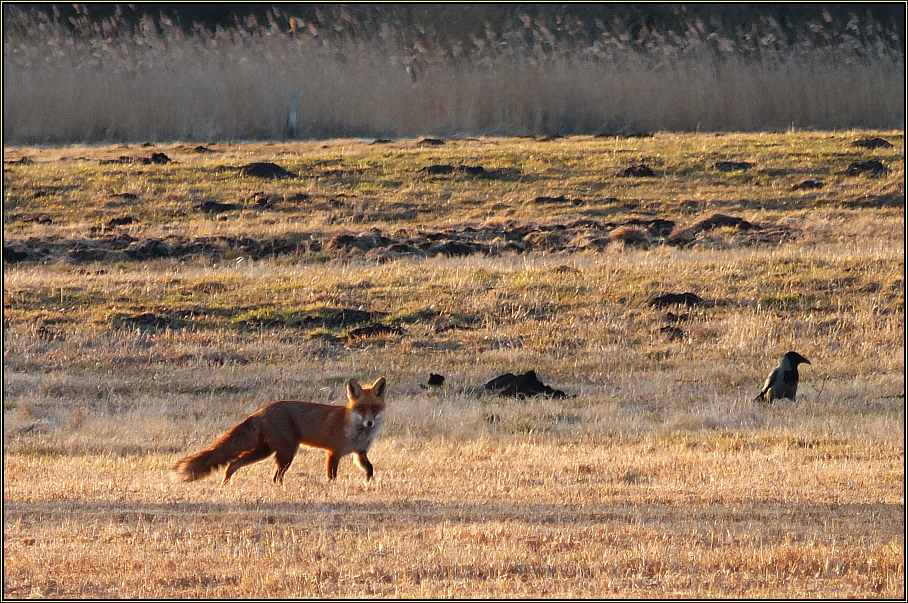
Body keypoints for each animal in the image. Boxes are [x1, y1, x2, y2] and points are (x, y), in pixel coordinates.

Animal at [172, 378, 384, 486]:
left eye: (375, 408)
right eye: (361, 409)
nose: (369, 423)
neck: (358, 432)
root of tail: (261, 409)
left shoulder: (360, 453)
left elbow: (370, 469)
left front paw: (370, 484)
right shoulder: (333, 452)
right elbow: (332, 476)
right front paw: (331, 488)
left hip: (265, 451)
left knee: (232, 463)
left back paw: (226, 482)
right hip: (286, 453)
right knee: (276, 476)